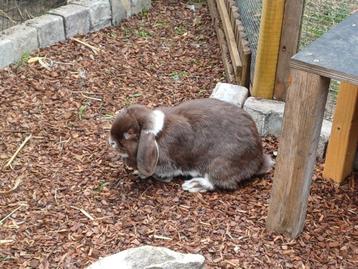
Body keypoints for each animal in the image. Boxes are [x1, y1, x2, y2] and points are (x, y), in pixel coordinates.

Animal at [109, 97, 274, 192]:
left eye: (129, 133)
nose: (111, 142)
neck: (157, 135)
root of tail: (257, 161)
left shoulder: (167, 164)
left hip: (219, 165)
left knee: (219, 183)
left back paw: (194, 185)